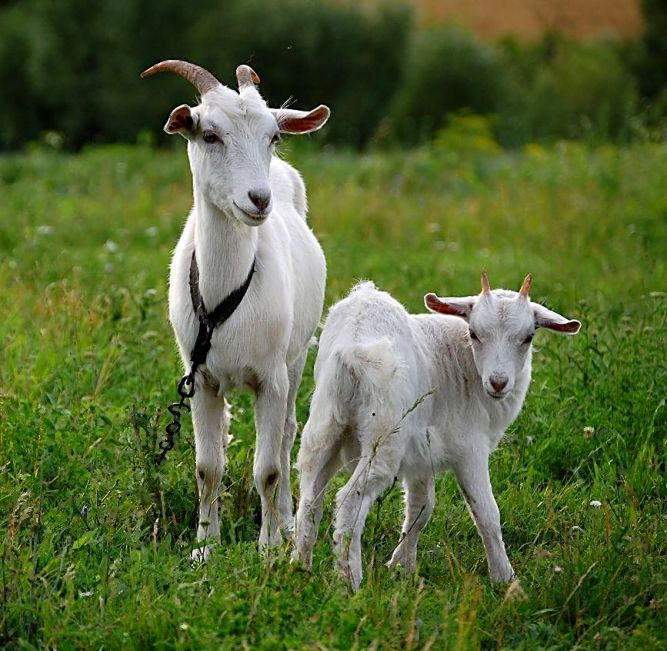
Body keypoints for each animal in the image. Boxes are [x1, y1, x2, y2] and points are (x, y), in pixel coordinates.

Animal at [142, 60, 329, 556]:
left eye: (273, 136)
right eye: (209, 135)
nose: (258, 200)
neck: (226, 292)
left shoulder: (271, 378)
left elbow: (269, 468)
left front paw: (268, 548)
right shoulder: (201, 380)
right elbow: (207, 467)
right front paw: (205, 546)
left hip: (296, 359)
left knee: (286, 437)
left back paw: (287, 521)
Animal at [294, 273, 581, 589]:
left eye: (528, 337)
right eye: (474, 333)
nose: (498, 382)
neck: (464, 364)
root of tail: (352, 348)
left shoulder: (422, 454)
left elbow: (421, 508)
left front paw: (402, 566)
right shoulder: (469, 447)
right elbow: (486, 513)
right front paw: (505, 579)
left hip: (325, 424)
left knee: (309, 498)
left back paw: (299, 568)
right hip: (385, 433)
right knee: (349, 501)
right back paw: (350, 582)